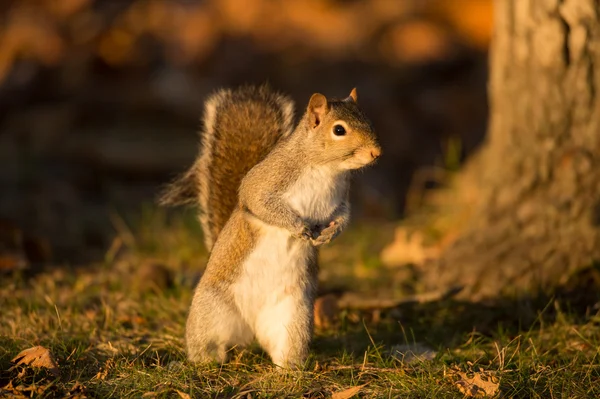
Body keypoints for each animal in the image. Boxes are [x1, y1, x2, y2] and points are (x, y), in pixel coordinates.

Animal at [159, 83, 382, 368]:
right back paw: (203, 363)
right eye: (339, 130)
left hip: (293, 319)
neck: (326, 168)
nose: (377, 152)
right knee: (206, 343)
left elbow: (343, 216)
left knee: (285, 348)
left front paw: (331, 233)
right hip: (210, 313)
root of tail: (249, 330)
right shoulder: (265, 181)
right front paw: (297, 226)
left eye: (368, 120)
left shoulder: (341, 198)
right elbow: (260, 203)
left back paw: (288, 370)